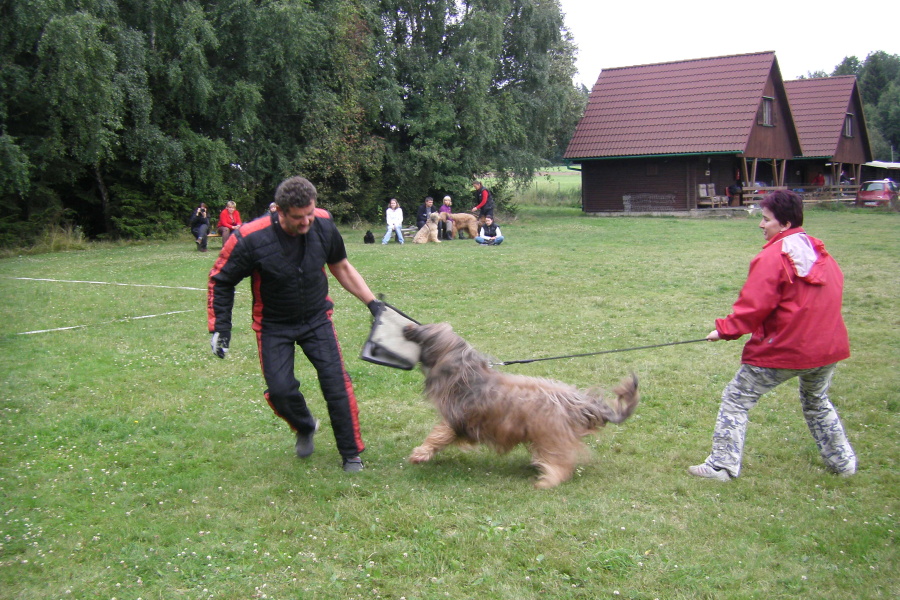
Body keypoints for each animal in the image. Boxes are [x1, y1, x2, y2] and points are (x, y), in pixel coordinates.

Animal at [400, 324, 640, 488]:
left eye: (424, 334)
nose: (407, 327)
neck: (466, 373)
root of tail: (580, 402)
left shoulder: (457, 418)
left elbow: (439, 435)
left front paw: (420, 454)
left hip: (551, 433)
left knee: (561, 462)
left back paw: (547, 480)